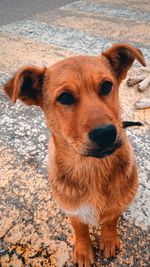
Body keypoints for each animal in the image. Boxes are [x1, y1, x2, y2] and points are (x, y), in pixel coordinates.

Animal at [3, 44, 146, 266]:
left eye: (107, 86)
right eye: (64, 98)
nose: (106, 133)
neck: (92, 168)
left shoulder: (119, 201)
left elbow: (111, 219)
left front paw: (109, 238)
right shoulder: (71, 209)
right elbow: (80, 228)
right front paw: (84, 250)